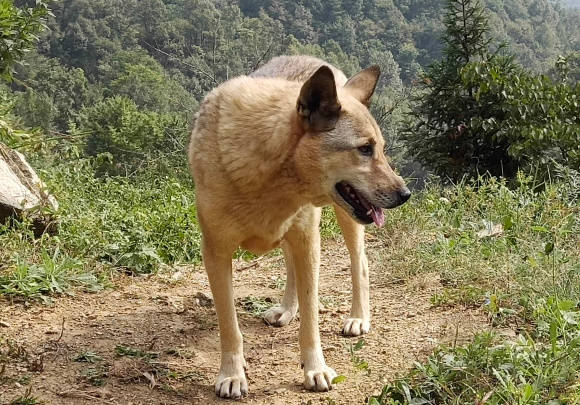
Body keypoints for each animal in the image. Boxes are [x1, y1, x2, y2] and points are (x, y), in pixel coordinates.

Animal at [188, 54, 410, 398]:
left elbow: (311, 320)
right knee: (291, 265)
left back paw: (358, 317)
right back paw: (286, 309)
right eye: (364, 149)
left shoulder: (308, 241)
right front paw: (232, 374)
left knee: (359, 263)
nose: (405, 195)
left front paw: (315, 369)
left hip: (343, 219)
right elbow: (229, 326)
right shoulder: (216, 252)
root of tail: (310, 58)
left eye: (382, 149)